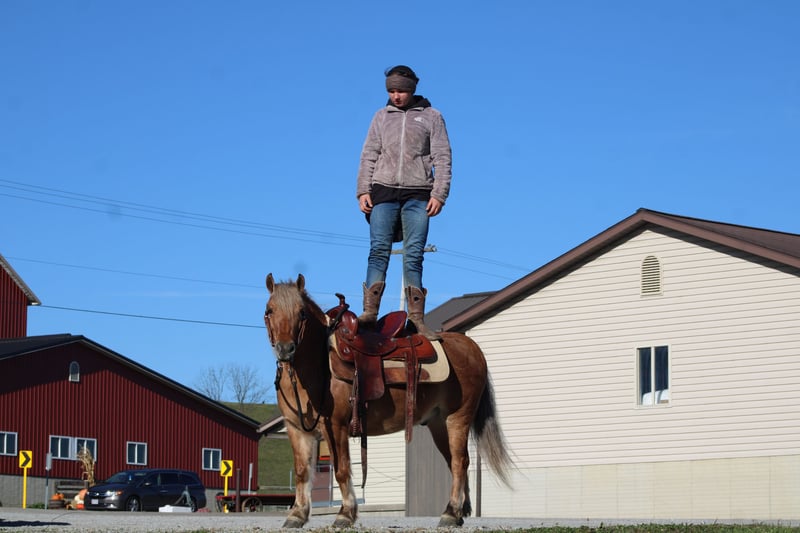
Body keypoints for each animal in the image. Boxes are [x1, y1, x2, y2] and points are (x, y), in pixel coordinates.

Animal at [264, 273, 513, 528]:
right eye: (269, 310)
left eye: (302, 312)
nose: (285, 349)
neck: (318, 365)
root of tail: (472, 347)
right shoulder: (296, 429)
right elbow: (302, 471)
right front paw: (297, 515)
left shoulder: (336, 425)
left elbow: (341, 469)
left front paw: (345, 514)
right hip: (439, 424)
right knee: (457, 462)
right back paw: (458, 512)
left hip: (458, 418)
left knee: (459, 462)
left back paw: (450, 513)